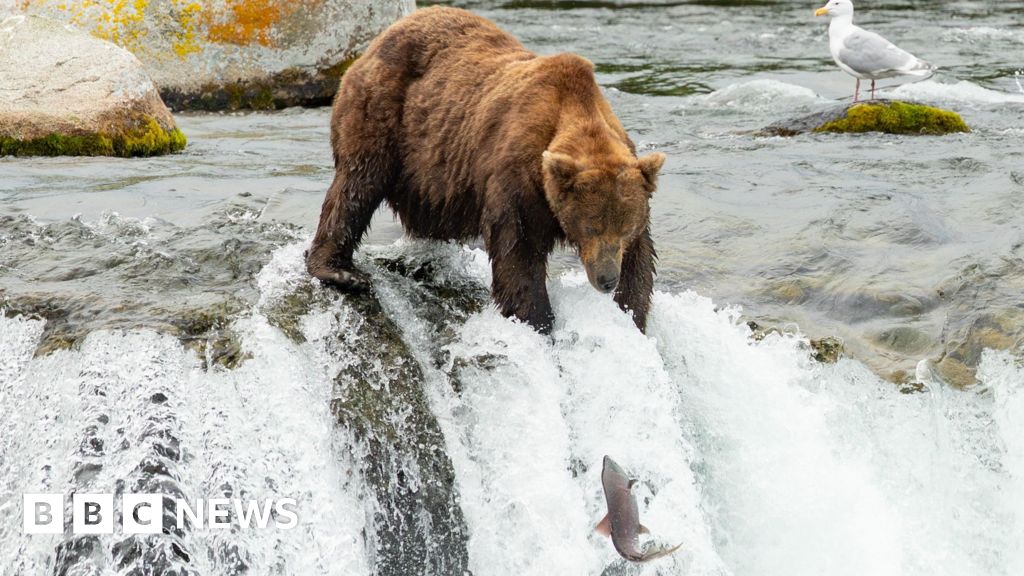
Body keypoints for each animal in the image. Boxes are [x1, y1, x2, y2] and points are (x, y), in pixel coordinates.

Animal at [306, 6, 666, 333]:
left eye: (624, 229)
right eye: (590, 227)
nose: (606, 279)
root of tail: (384, 34)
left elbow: (641, 259)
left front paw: (631, 314)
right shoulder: (519, 175)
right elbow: (519, 249)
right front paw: (537, 320)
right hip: (383, 108)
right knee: (358, 182)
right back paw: (339, 271)